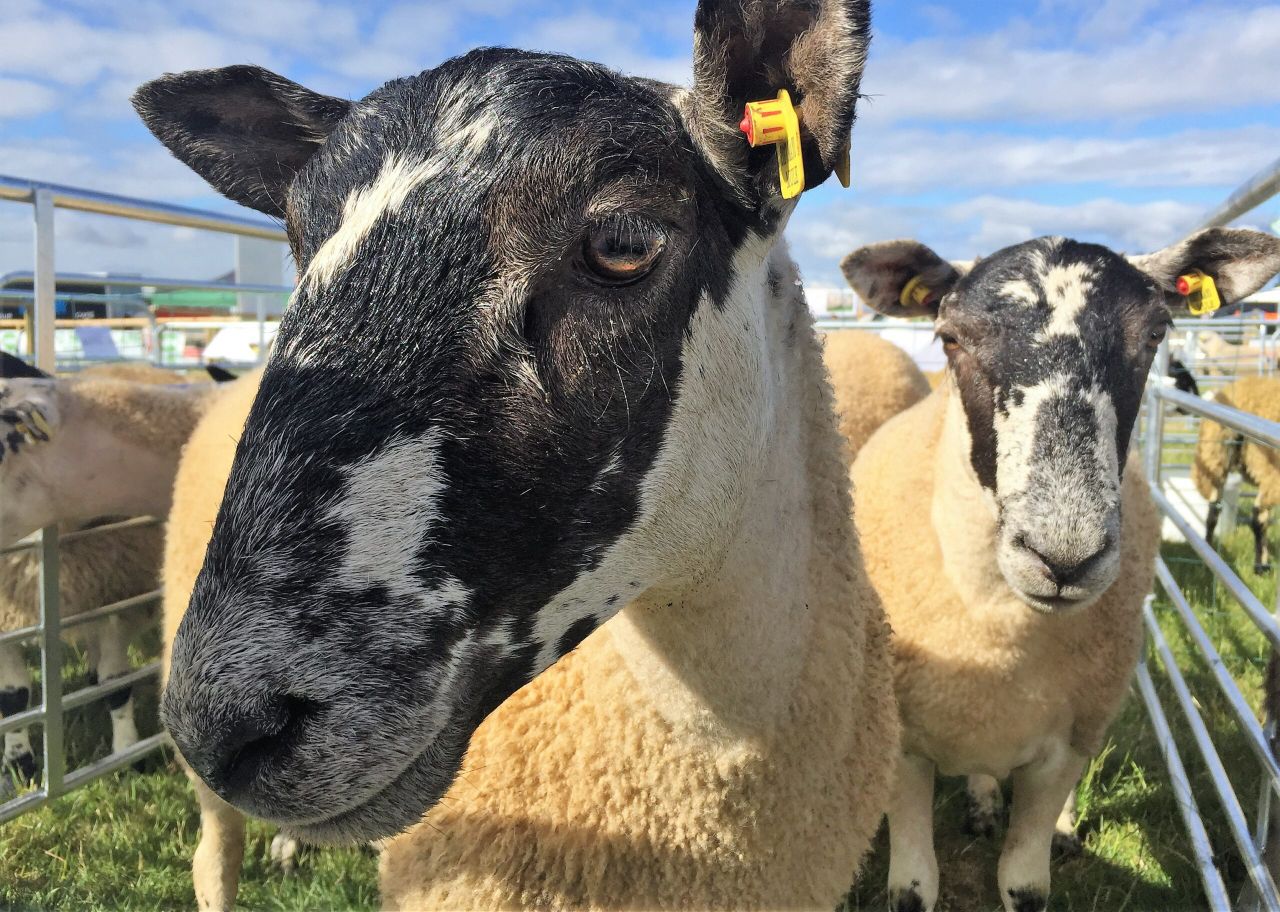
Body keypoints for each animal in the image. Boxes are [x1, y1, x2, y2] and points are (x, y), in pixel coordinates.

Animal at [1191, 375, 1280, 573]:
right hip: (1270, 470)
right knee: (1258, 516)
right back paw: (1261, 567)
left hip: (1215, 460)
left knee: (1213, 511)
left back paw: (1208, 558)